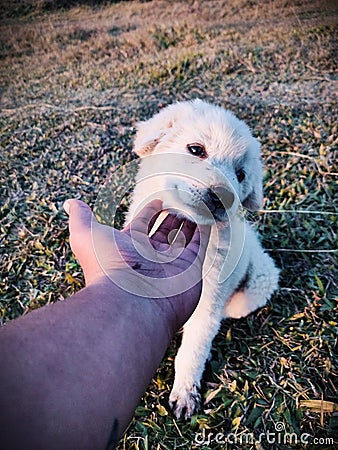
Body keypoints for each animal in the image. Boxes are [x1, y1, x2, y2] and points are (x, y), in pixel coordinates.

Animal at [125, 98, 278, 418]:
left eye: (240, 174)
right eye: (196, 150)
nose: (223, 196)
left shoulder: (206, 304)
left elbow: (192, 350)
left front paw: (185, 393)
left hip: (259, 281)